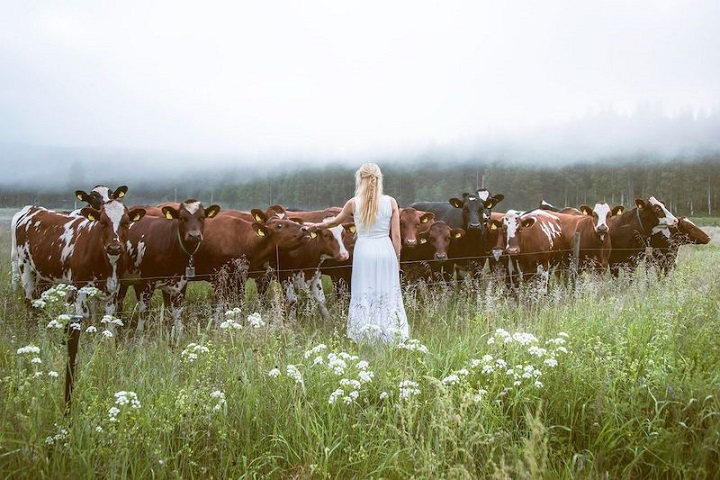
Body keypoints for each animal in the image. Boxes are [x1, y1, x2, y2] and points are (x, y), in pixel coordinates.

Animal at [12, 200, 146, 316]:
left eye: (126, 223)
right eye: (102, 222)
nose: (114, 247)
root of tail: (33, 209)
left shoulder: (114, 289)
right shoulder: (80, 286)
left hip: (45, 273)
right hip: (25, 267)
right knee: (29, 301)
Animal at [118, 199, 221, 338]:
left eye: (202, 217)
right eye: (182, 218)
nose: (194, 235)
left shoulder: (180, 283)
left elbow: (176, 312)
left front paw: (178, 334)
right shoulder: (145, 283)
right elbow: (144, 311)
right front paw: (140, 336)